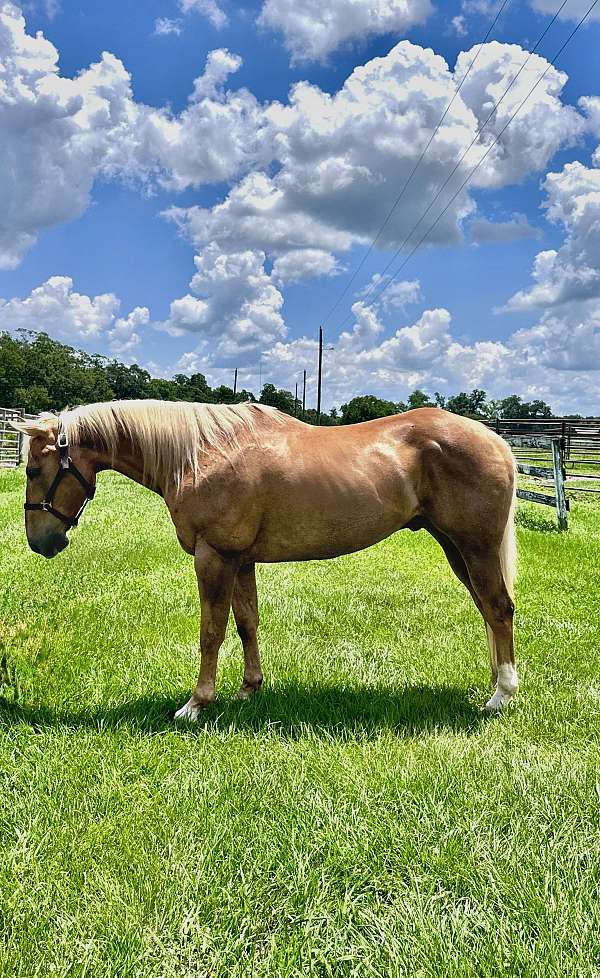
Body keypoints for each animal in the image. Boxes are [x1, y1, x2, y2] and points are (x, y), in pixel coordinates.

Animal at [12, 399, 518, 719]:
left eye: (34, 469)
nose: (41, 542)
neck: (201, 455)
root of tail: (496, 440)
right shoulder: (240, 560)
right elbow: (246, 623)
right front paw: (248, 688)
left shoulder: (213, 557)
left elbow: (211, 632)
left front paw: (196, 704)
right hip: (455, 547)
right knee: (487, 610)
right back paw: (494, 681)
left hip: (475, 546)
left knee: (498, 609)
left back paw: (502, 695)